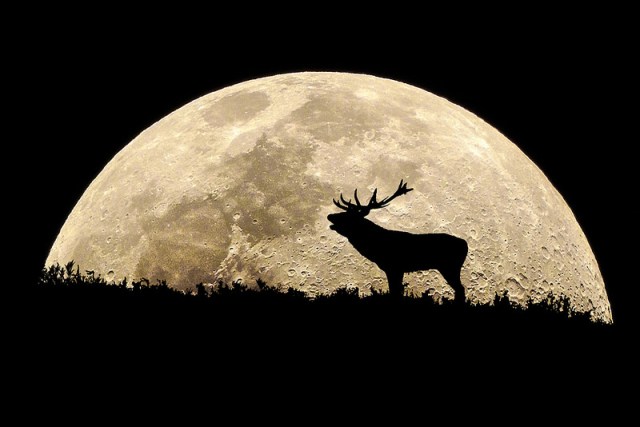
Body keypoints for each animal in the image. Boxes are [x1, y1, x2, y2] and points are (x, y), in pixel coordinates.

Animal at [327, 180, 468, 303]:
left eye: (348, 216)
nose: (330, 216)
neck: (374, 247)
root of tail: (465, 244)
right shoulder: (396, 269)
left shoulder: (394, 267)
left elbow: (394, 292)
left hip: (450, 266)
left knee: (460, 289)